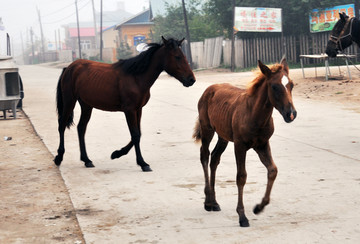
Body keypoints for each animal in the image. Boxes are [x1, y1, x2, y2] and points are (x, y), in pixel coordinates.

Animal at [53, 37, 195, 173]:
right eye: (177, 57)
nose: (191, 80)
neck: (136, 77)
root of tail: (69, 68)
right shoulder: (129, 110)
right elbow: (135, 134)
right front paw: (142, 163)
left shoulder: (138, 110)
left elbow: (138, 134)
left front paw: (117, 153)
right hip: (70, 101)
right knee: (61, 125)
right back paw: (59, 157)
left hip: (87, 105)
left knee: (81, 128)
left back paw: (87, 160)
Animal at [193, 58, 296, 227]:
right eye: (274, 86)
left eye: (292, 84)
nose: (291, 114)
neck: (255, 114)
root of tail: (210, 89)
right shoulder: (240, 146)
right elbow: (241, 177)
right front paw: (242, 216)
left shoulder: (262, 144)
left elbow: (273, 170)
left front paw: (259, 207)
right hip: (207, 129)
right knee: (205, 156)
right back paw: (208, 202)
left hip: (223, 136)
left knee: (214, 158)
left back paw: (214, 202)